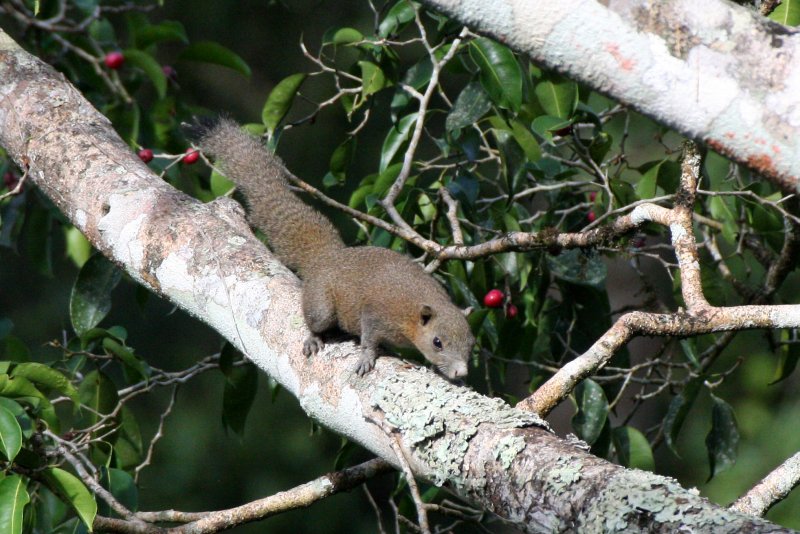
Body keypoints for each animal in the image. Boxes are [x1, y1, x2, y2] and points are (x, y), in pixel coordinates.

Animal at [194, 120, 476, 382]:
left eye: (472, 344)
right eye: (437, 342)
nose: (461, 372)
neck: (414, 310)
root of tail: (327, 257)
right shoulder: (377, 314)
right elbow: (370, 338)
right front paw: (367, 357)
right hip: (322, 304)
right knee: (315, 320)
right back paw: (314, 337)